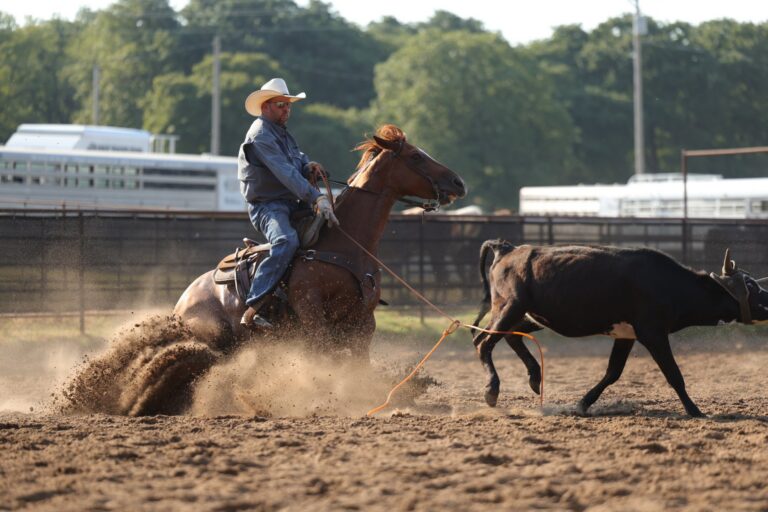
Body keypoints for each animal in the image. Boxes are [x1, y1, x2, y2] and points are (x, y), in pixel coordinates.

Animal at [173, 124, 467, 362]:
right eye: (416, 156)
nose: (458, 182)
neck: (345, 245)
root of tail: (181, 302)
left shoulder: (363, 323)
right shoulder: (312, 314)